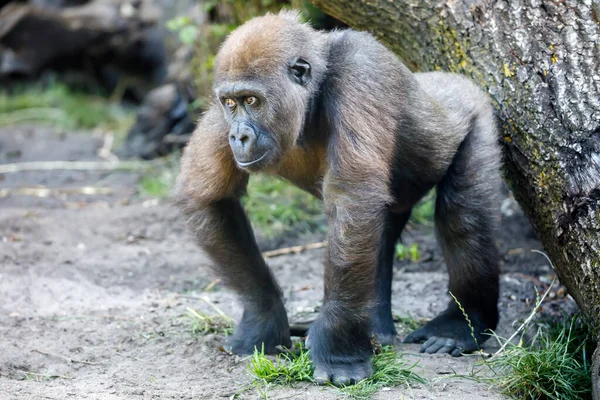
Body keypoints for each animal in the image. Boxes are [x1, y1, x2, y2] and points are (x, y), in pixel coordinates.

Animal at [175, 10, 502, 388]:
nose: (238, 136)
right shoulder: (220, 109)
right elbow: (207, 197)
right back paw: (375, 328)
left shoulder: (360, 71)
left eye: (252, 101)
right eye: (231, 103)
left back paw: (462, 325)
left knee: (463, 217)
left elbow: (352, 200)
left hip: (476, 113)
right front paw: (264, 320)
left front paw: (338, 355)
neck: (313, 91)